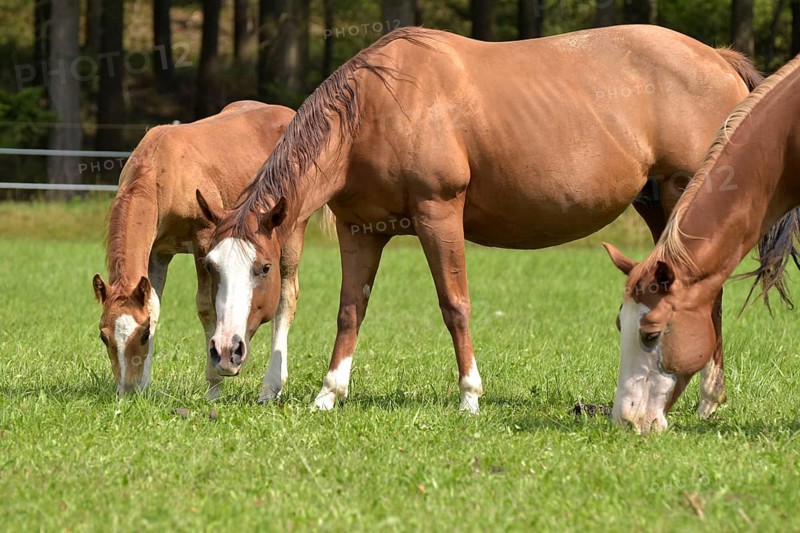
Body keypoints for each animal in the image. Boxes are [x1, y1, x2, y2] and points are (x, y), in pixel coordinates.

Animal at [92, 101, 295, 398]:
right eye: (103, 336)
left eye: (142, 335)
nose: (126, 390)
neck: (163, 170)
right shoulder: (158, 252)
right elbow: (153, 305)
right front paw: (144, 386)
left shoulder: (204, 238)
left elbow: (206, 307)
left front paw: (214, 387)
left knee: (286, 298)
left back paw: (272, 385)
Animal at [203, 26, 761, 413]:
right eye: (212, 267)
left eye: (264, 269)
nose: (225, 351)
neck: (382, 104)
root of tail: (718, 58)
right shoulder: (359, 231)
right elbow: (349, 311)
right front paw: (328, 394)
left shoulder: (439, 214)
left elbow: (455, 305)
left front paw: (470, 396)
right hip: (655, 206)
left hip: (684, 199)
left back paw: (709, 400)